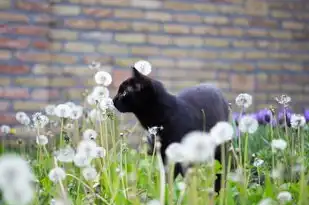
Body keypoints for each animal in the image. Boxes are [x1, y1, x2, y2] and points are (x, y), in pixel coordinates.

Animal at [112, 66, 230, 194]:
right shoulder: (164, 154)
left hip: (219, 152)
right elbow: (167, 176)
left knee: (220, 174)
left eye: (124, 92)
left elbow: (173, 176)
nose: (113, 100)